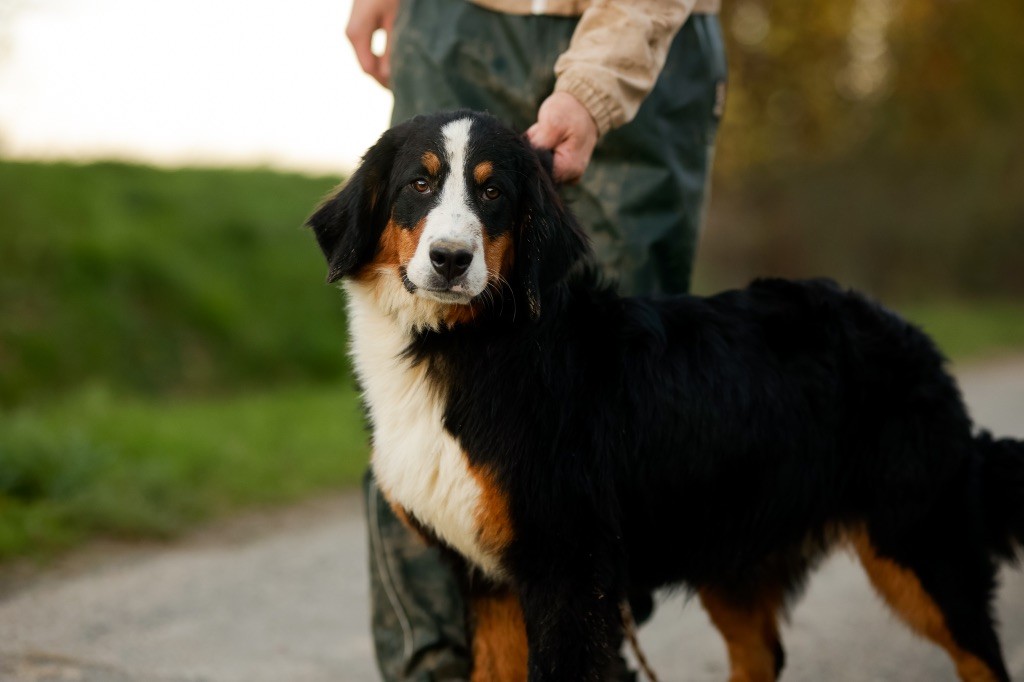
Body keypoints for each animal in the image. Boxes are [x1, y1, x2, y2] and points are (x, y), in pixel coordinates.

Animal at [309, 111, 1024, 679]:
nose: (452, 259)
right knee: (761, 656)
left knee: (982, 659)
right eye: (419, 183)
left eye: (492, 192)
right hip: (736, 551)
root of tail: (916, 338)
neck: (468, 346)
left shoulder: (568, 570)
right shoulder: (490, 579)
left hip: (922, 548)